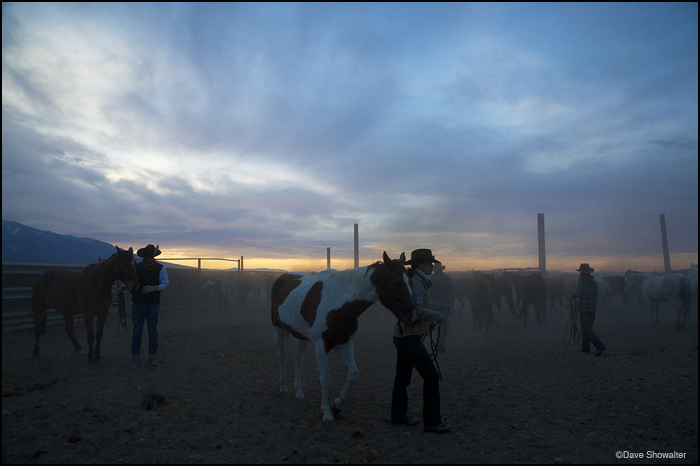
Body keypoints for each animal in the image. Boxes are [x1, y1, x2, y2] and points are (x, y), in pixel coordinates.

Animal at [272, 251, 416, 422]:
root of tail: (283, 276)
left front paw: (337, 406)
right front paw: (327, 413)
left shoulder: (343, 343)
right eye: (397, 283)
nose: (412, 319)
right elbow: (325, 379)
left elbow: (353, 374)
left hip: (302, 336)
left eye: (411, 282)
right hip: (278, 329)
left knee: (297, 360)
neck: (339, 303)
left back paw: (299, 392)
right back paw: (283, 387)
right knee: (281, 356)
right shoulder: (322, 346)